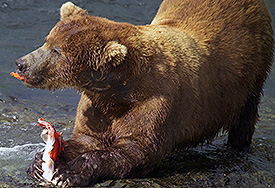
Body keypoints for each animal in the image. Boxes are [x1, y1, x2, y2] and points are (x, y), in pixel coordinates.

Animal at [14, 0, 274, 187]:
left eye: (57, 51)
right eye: (47, 40)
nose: (21, 64)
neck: (121, 89)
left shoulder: (155, 101)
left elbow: (137, 149)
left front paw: (66, 173)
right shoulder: (96, 105)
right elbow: (86, 138)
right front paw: (39, 161)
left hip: (251, 71)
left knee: (245, 116)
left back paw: (237, 149)